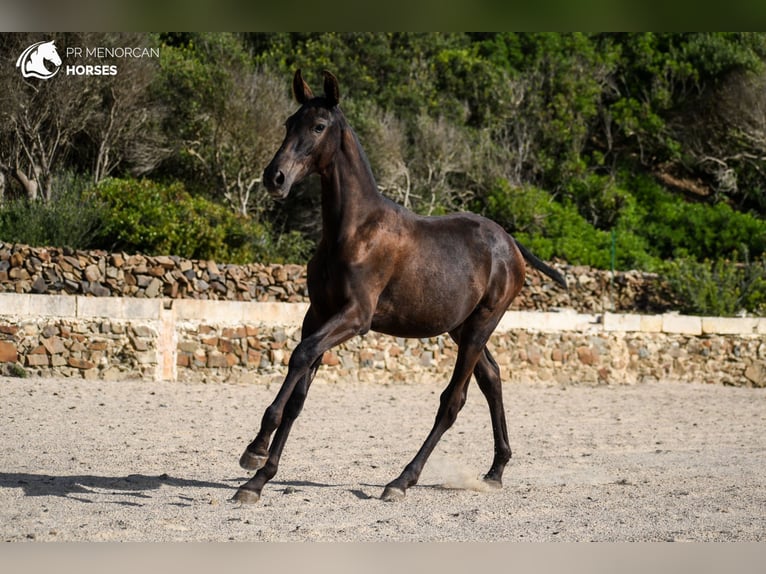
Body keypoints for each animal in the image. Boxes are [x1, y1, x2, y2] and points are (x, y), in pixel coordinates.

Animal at [234, 70, 568, 506]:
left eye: (319, 126)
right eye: (289, 123)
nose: (275, 178)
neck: (353, 232)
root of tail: (510, 243)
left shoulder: (354, 317)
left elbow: (300, 357)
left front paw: (254, 451)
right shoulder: (318, 314)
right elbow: (299, 394)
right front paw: (258, 479)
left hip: (481, 324)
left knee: (453, 401)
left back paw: (401, 480)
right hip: (461, 328)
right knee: (491, 379)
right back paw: (495, 471)